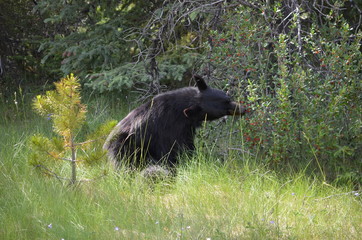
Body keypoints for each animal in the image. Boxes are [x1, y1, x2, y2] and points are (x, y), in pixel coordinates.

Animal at [104, 76, 246, 168]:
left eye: (228, 98)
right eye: (226, 103)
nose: (243, 109)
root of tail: (105, 146)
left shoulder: (187, 129)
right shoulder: (170, 131)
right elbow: (176, 151)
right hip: (127, 148)